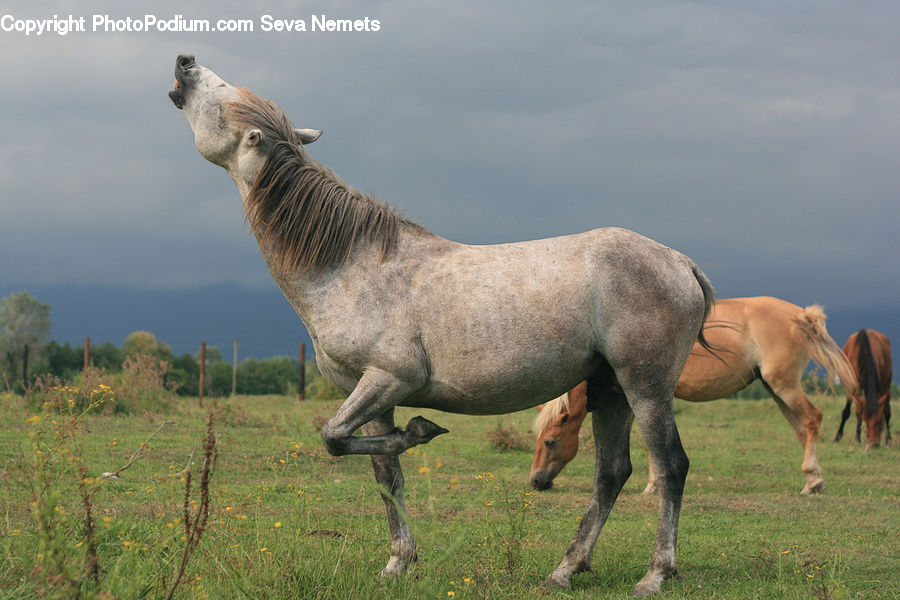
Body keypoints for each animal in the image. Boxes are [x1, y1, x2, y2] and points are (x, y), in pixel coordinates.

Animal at [169, 55, 712, 596]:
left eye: (221, 96)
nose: (185, 62)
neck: (350, 265)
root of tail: (680, 262)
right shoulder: (365, 391)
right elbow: (383, 473)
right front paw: (398, 561)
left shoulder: (389, 379)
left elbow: (334, 438)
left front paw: (421, 430)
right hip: (610, 389)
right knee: (611, 473)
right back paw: (566, 568)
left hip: (645, 388)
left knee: (670, 466)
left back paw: (655, 573)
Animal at [532, 296, 860, 496]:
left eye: (550, 441)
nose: (535, 481)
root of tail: (801, 315)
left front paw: (652, 486)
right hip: (775, 388)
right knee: (802, 428)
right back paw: (812, 481)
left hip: (784, 385)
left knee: (813, 419)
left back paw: (813, 480)